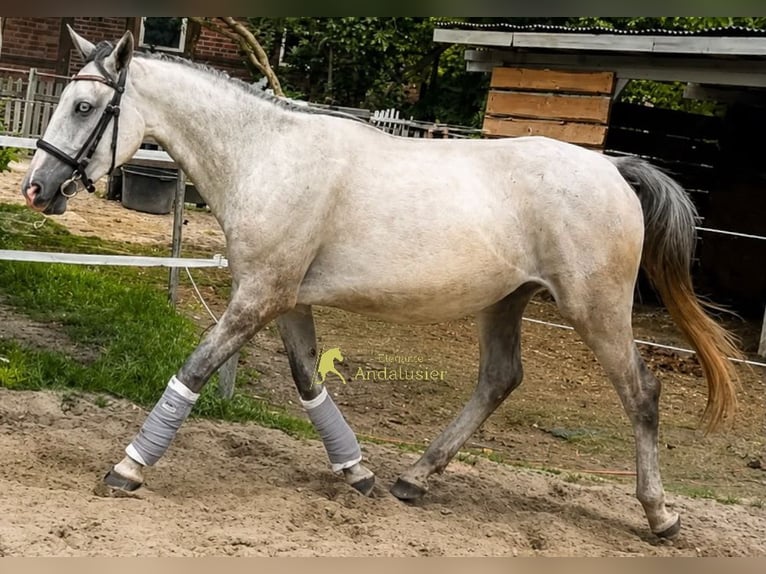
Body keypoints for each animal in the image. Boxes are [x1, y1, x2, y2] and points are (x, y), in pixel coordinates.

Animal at [20, 27, 742, 539]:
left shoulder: (257, 297)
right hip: (505, 303)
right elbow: (308, 381)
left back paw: (660, 517)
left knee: (641, 393)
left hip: (595, 308)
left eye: (83, 105)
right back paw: (414, 479)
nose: (35, 188)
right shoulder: (285, 300)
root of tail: (613, 169)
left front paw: (128, 468)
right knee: (498, 380)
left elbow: (194, 369)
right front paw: (358, 473)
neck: (266, 158)